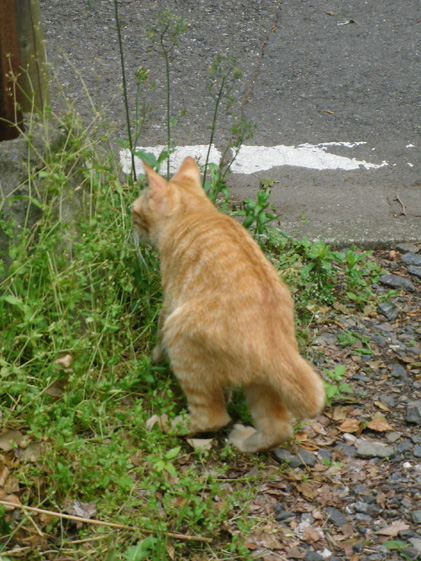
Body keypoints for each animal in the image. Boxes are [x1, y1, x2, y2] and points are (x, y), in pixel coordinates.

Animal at [133, 156, 324, 450]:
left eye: (134, 213)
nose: (130, 224)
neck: (197, 213)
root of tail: (275, 345)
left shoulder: (170, 299)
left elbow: (158, 333)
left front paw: (154, 357)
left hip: (181, 339)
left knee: (212, 418)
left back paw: (163, 424)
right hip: (261, 385)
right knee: (278, 427)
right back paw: (245, 442)